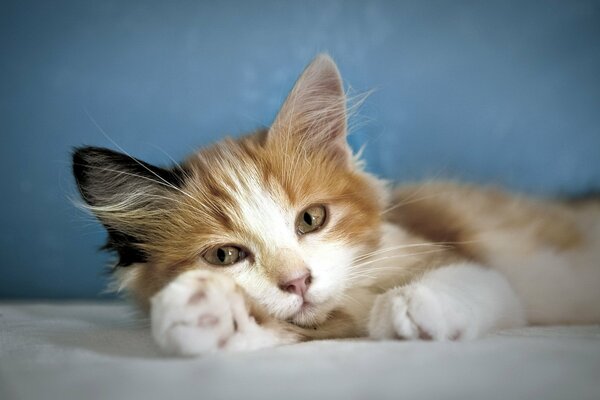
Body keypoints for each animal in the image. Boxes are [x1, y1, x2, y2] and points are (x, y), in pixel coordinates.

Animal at [72, 54, 600, 356]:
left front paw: (414, 304)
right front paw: (208, 314)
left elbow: (473, 281)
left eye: (311, 219)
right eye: (224, 256)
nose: (298, 282)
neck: (351, 309)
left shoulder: (472, 263)